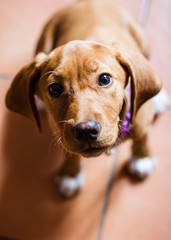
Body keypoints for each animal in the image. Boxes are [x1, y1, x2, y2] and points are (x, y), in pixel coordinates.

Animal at [5, 0, 163, 197]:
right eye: (54, 89)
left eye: (104, 79)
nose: (87, 130)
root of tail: (86, 2)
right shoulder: (60, 131)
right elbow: (69, 152)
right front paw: (70, 174)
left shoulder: (142, 119)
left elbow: (142, 137)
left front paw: (142, 158)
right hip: (44, 39)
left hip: (142, 39)